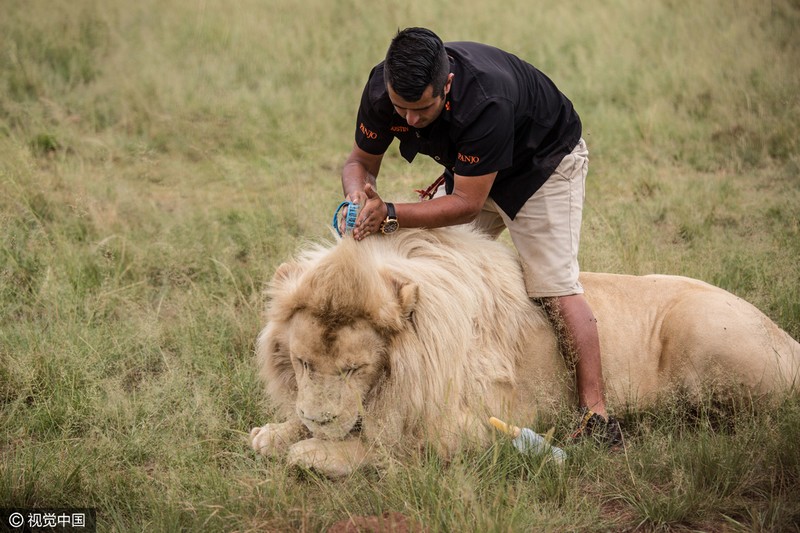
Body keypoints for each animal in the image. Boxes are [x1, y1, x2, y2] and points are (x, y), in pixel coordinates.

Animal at [247, 227, 796, 476]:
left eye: (354, 369)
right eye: (303, 363)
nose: (318, 419)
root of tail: (790, 340)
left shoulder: (478, 427)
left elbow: (387, 443)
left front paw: (314, 449)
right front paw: (278, 432)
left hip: (703, 333)